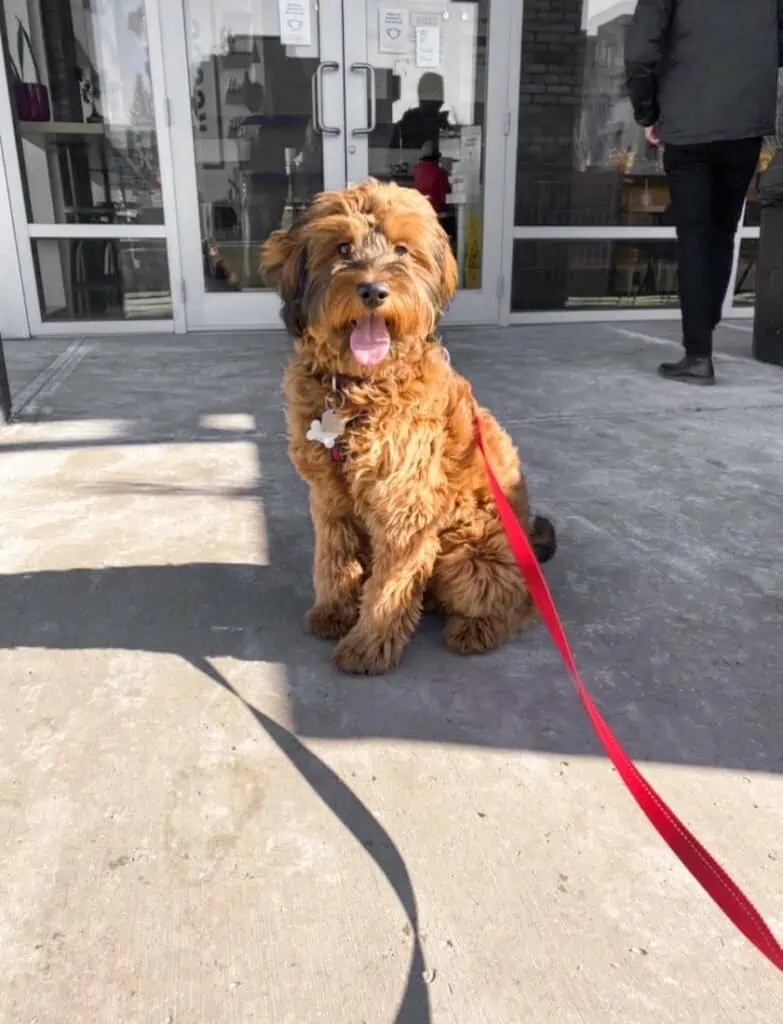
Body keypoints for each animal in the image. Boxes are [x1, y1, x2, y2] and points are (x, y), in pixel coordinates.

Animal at [259, 180, 552, 675]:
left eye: (401, 249)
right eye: (342, 247)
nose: (374, 291)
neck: (355, 391)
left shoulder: (404, 509)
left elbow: (389, 588)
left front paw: (368, 646)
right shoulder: (328, 499)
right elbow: (333, 559)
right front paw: (334, 611)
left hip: (472, 556)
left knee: (517, 603)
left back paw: (476, 629)